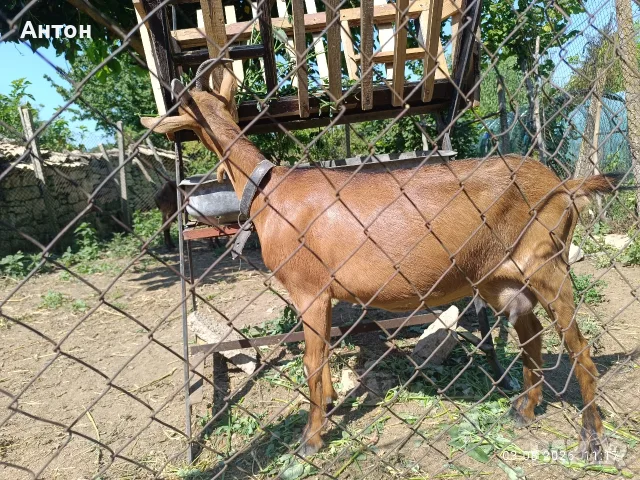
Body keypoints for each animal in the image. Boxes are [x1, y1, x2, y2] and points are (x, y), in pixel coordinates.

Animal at [141, 70, 620, 459]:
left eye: (179, 109)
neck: (268, 192)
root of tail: (565, 186)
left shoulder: (309, 289)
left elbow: (311, 361)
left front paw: (310, 439)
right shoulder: (325, 294)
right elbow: (326, 352)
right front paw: (330, 403)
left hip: (548, 264)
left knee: (579, 348)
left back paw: (591, 439)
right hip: (498, 279)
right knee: (531, 332)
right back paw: (524, 409)